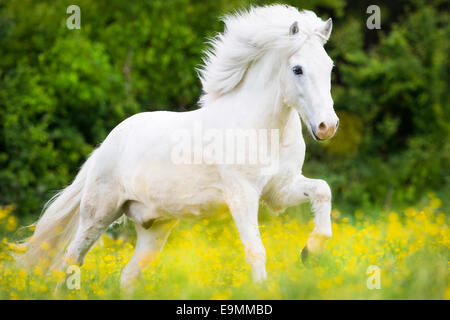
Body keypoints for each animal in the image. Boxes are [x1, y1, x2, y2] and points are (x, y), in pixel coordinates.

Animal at [19, 5, 340, 288]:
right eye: (297, 69)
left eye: (329, 67)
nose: (328, 126)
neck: (265, 132)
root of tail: (105, 146)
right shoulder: (242, 195)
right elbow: (256, 252)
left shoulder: (279, 191)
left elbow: (323, 190)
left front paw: (310, 253)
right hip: (98, 214)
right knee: (70, 261)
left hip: (155, 229)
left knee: (127, 275)